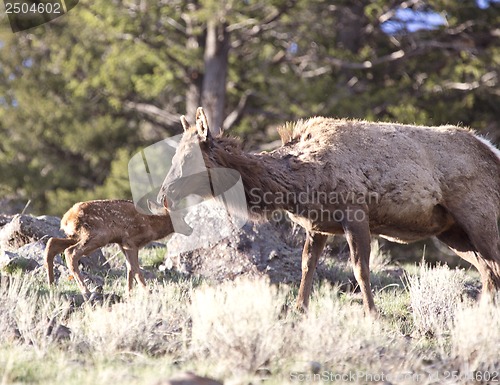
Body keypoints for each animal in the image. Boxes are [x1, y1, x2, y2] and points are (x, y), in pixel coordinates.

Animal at [45, 200, 174, 296]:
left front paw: (129, 293)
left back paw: (51, 285)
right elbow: (135, 268)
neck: (151, 225)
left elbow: (129, 267)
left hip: (77, 236)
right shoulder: (130, 241)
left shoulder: (122, 243)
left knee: (52, 243)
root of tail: (66, 219)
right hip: (98, 235)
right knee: (70, 252)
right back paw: (86, 291)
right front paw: (147, 292)